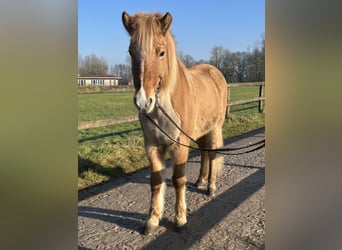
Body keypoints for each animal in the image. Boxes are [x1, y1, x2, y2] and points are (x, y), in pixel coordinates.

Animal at [121, 11, 228, 234]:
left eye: (162, 53)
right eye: (130, 52)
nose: (143, 102)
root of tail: (215, 71)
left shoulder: (180, 145)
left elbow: (178, 180)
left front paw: (180, 219)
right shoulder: (152, 146)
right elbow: (156, 181)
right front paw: (152, 220)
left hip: (214, 129)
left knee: (212, 154)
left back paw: (211, 187)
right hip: (200, 133)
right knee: (204, 153)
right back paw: (201, 180)